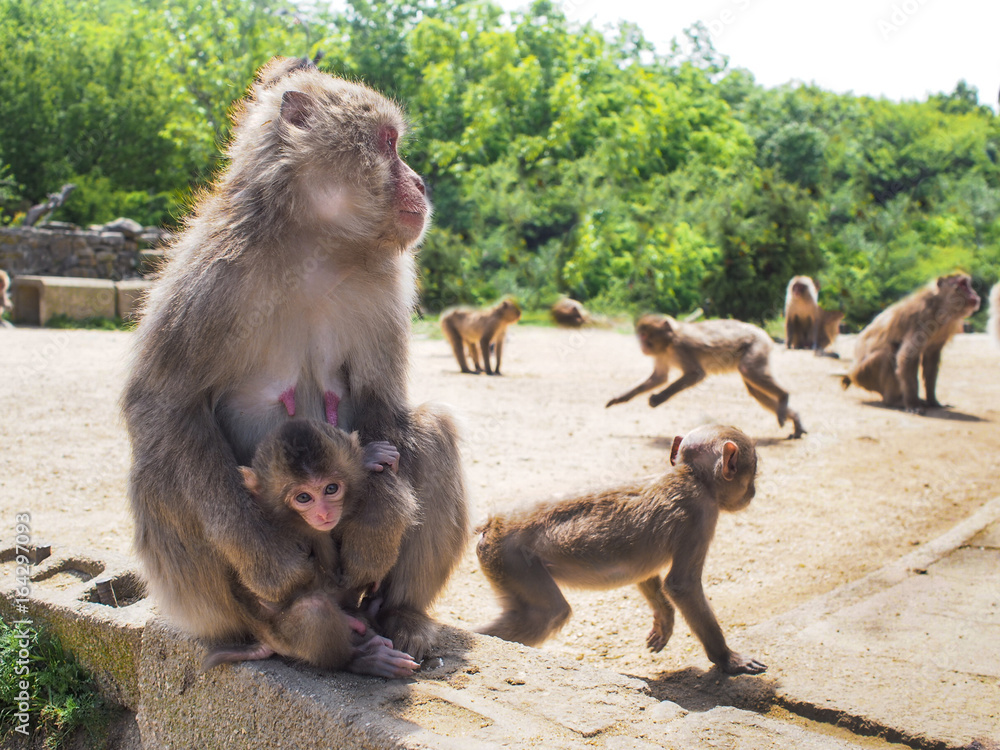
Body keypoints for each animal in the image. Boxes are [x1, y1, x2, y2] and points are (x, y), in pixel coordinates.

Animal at [202, 420, 419, 678]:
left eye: (331, 489)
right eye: (304, 497)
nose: (324, 513)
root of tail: (264, 639)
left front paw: (367, 457)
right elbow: (281, 592)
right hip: (282, 637)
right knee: (315, 609)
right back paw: (361, 658)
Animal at [475, 424, 766, 676]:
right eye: (751, 472)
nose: (752, 491)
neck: (689, 475)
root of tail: (491, 525)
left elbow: (645, 572)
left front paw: (664, 619)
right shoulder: (701, 515)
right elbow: (681, 585)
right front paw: (727, 659)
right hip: (511, 560)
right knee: (546, 614)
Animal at [606, 314, 806, 439]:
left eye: (645, 335)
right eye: (640, 335)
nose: (642, 345)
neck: (669, 342)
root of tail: (764, 333)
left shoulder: (681, 347)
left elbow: (696, 374)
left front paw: (658, 399)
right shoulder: (661, 354)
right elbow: (659, 378)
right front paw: (620, 398)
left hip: (758, 345)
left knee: (748, 370)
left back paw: (784, 396)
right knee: (753, 388)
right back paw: (794, 419)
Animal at [843, 273, 980, 413]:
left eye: (968, 285)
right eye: (963, 285)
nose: (974, 294)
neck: (941, 306)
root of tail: (851, 373)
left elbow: (931, 359)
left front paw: (933, 401)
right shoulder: (922, 319)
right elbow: (906, 357)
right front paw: (913, 404)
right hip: (863, 374)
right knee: (888, 354)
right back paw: (893, 401)